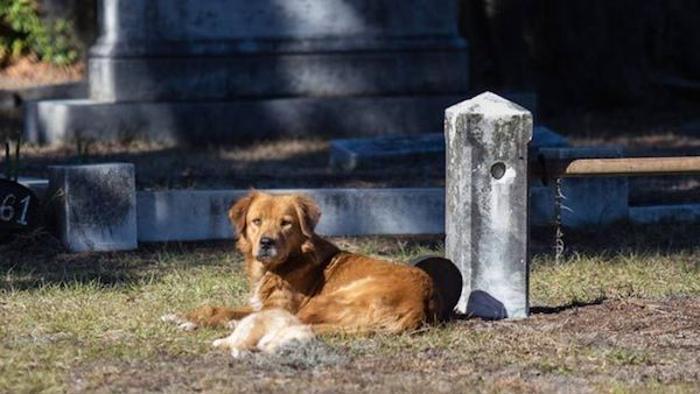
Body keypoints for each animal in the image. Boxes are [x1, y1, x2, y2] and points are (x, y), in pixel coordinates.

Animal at [163, 191, 442, 354]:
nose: (266, 242)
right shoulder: (262, 305)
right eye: (256, 221)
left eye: (286, 223)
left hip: (326, 300)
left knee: (296, 324)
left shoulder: (280, 308)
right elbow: (216, 308)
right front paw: (183, 315)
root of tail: (420, 302)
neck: (280, 266)